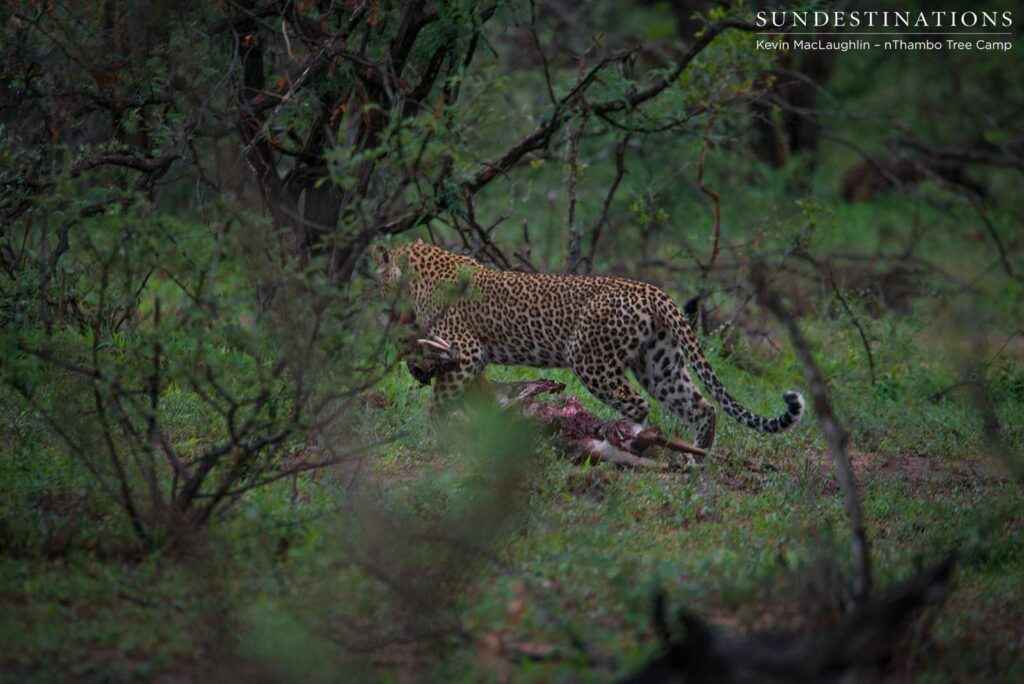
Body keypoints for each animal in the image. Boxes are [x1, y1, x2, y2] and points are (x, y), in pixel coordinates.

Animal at [373, 240, 803, 450]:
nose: (379, 300)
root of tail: (653, 291)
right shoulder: (469, 360)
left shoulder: (464, 351)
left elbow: (439, 402)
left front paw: (431, 439)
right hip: (659, 364)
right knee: (702, 406)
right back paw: (697, 459)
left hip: (590, 359)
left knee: (638, 405)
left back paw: (622, 438)